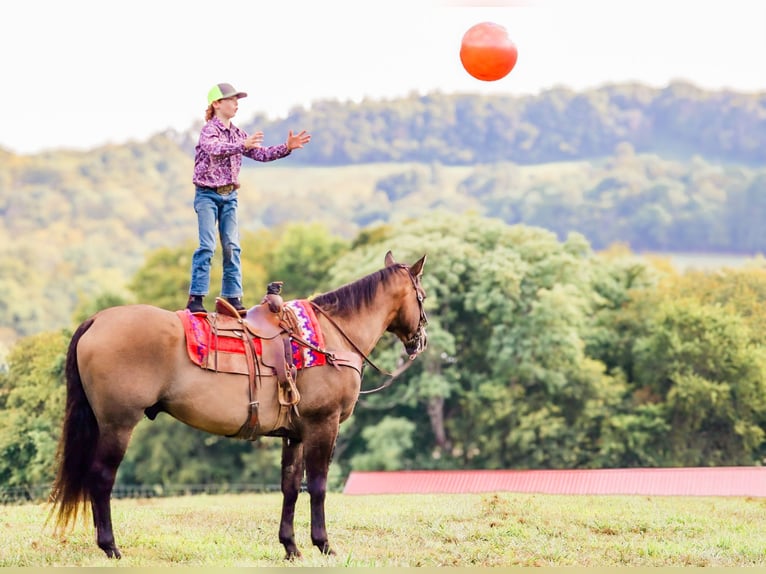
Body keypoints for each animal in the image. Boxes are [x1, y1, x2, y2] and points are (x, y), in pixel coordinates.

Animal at [50, 250, 428, 560]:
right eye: (422, 296)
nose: (420, 340)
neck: (330, 337)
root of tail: (98, 320)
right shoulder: (323, 425)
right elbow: (318, 486)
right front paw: (323, 544)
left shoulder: (295, 434)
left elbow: (290, 487)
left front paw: (290, 546)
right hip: (118, 424)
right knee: (101, 478)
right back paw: (110, 546)